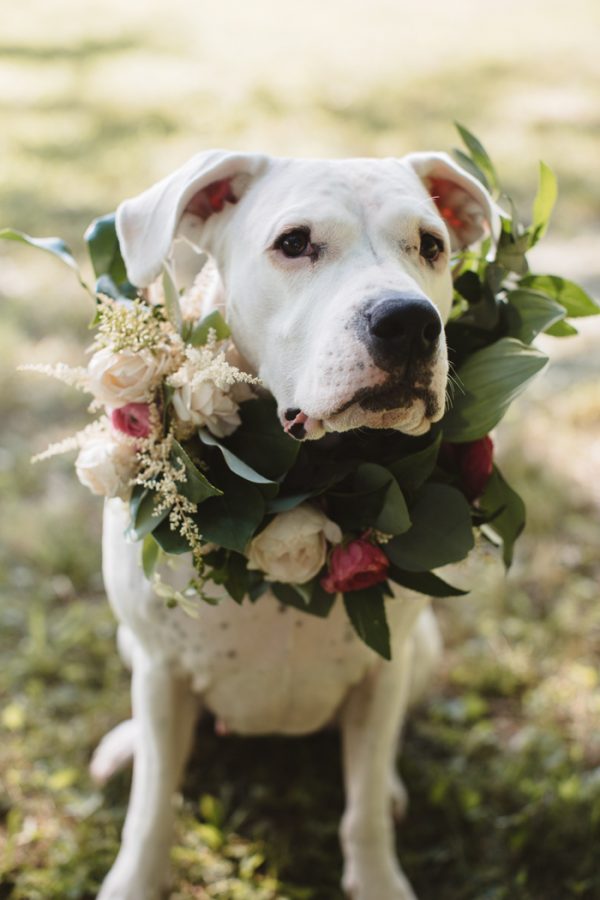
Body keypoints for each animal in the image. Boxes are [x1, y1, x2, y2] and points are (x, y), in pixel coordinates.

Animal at [92, 149, 496, 900]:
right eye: (294, 242)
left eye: (431, 245)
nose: (410, 322)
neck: (312, 477)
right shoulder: (162, 669)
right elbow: (152, 807)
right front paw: (134, 879)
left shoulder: (380, 676)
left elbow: (362, 809)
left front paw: (379, 877)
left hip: (420, 651)